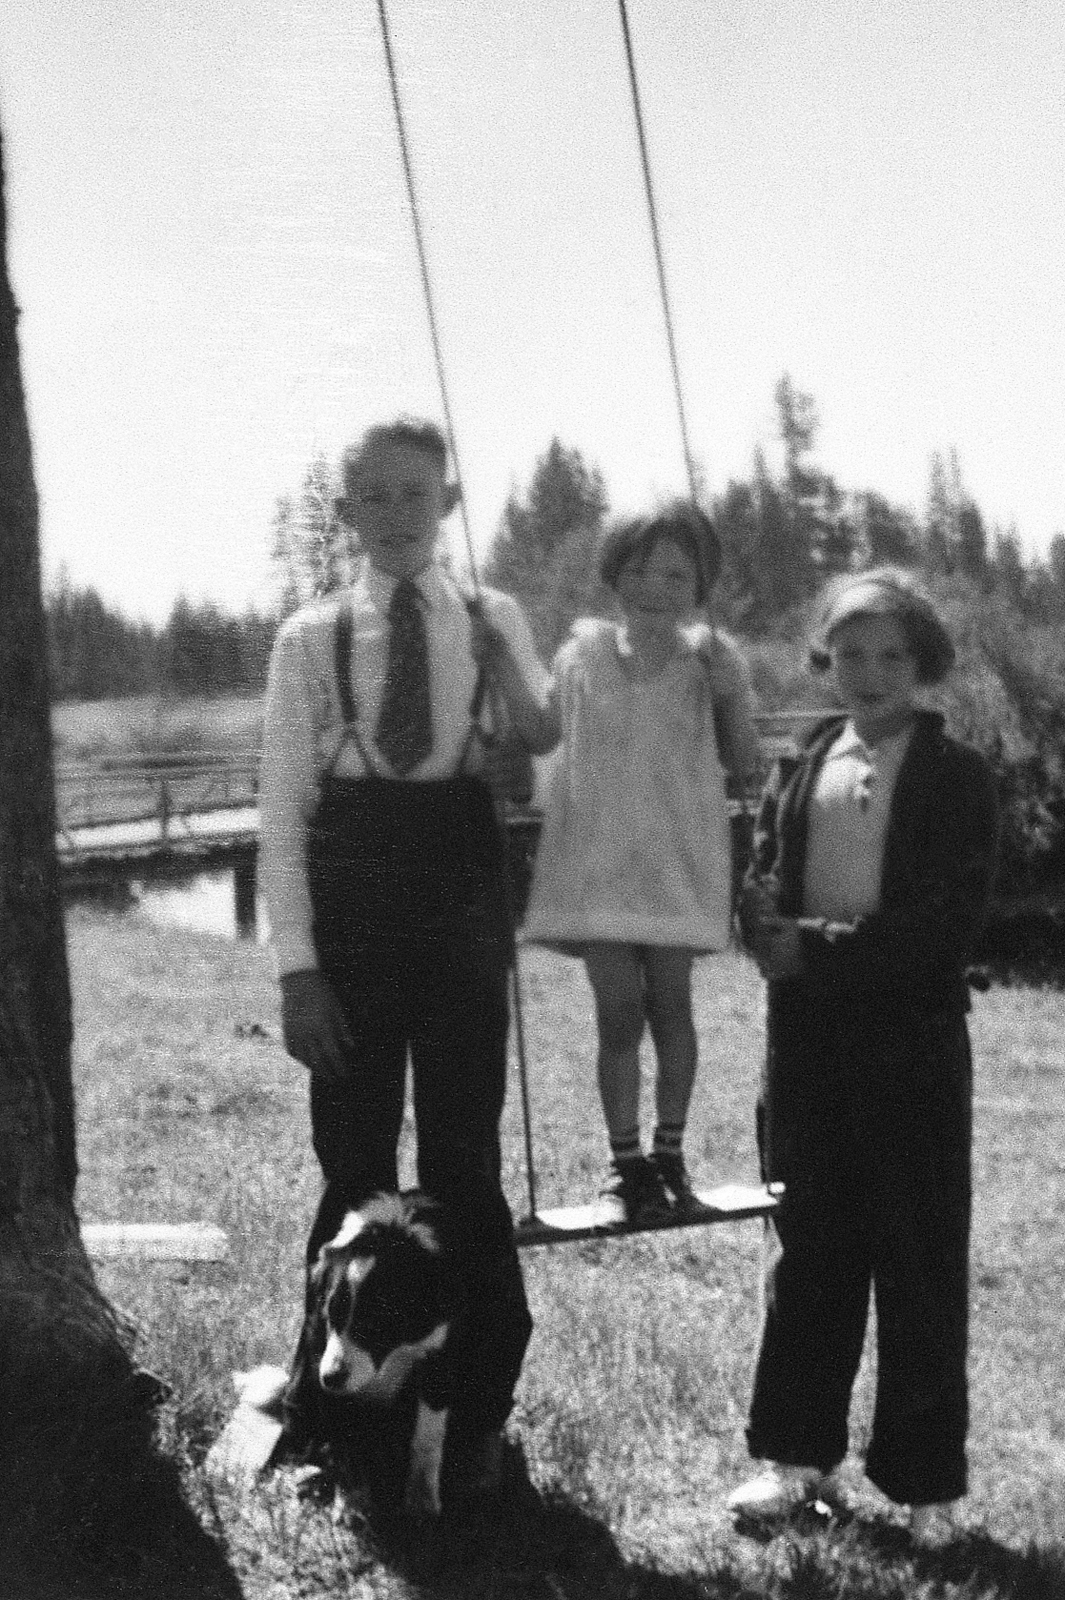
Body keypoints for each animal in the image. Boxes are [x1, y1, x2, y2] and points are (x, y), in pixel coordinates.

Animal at [305, 1196, 463, 1516]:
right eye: (331, 1315)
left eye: (375, 1322)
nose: (331, 1378)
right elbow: (348, 1444)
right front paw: (351, 1504)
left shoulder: (439, 1355)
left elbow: (427, 1436)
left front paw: (422, 1501)